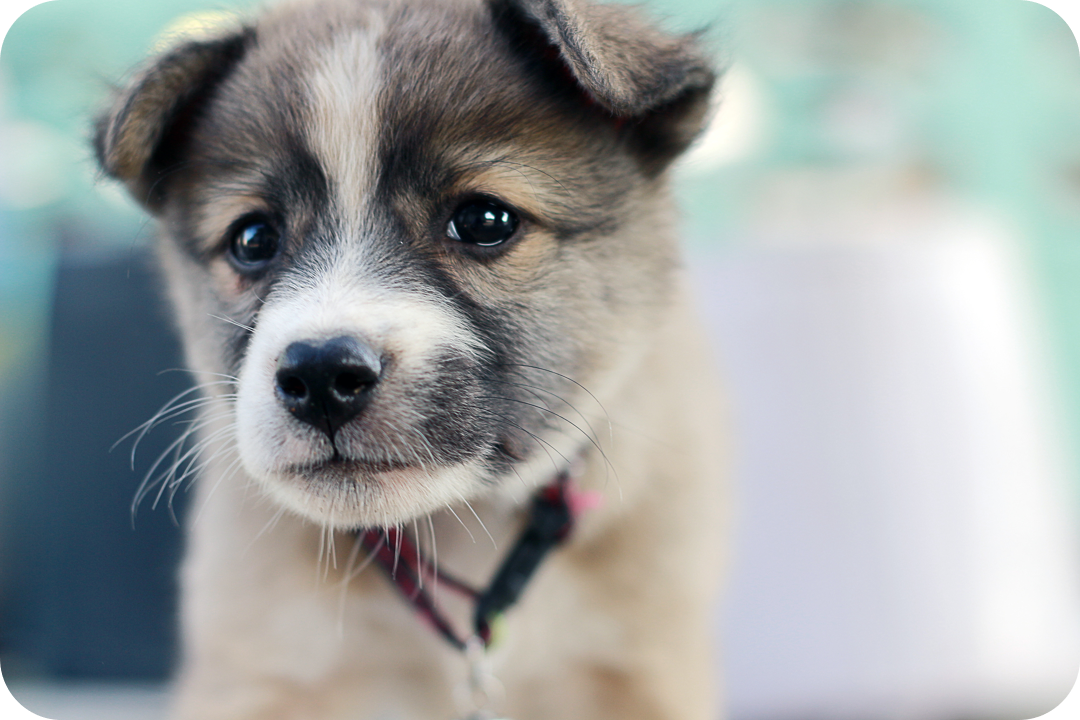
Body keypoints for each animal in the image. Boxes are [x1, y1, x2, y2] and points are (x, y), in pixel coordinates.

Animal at [97, 1, 730, 716]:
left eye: (485, 220)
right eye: (253, 238)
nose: (322, 376)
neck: (457, 528)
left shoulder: (642, 670)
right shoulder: (258, 673)